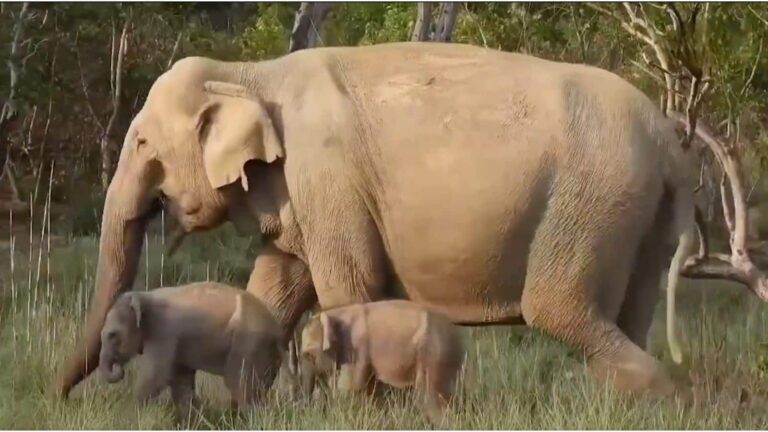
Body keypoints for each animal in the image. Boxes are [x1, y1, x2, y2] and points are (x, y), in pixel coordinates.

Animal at [56, 41, 698, 399]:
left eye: (142, 142)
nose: (57, 395)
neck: (252, 72)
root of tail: (671, 143)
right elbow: (274, 289)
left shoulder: (329, 176)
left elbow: (351, 286)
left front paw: (363, 409)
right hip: (635, 216)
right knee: (628, 314)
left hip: (589, 203)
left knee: (559, 309)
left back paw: (666, 397)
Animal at [98, 282, 283, 419]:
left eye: (112, 335)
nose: (118, 367)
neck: (144, 295)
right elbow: (181, 381)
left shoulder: (164, 332)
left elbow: (156, 375)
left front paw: (127, 416)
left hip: (249, 344)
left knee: (240, 386)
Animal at [299, 300, 465, 424]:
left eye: (309, 355)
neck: (335, 313)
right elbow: (370, 388)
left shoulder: (356, 347)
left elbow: (350, 387)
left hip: (434, 353)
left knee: (429, 395)